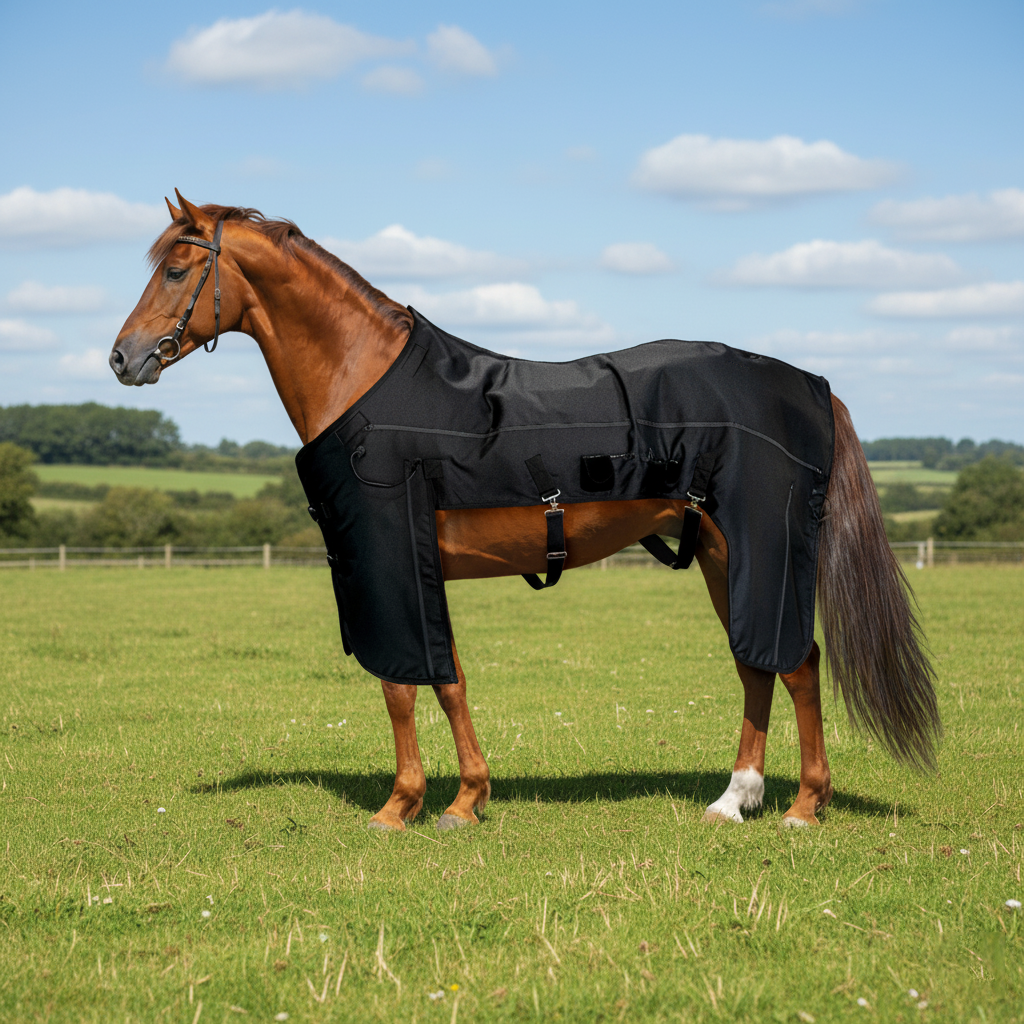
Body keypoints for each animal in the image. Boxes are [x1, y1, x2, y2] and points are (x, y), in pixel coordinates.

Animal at [110, 193, 940, 832]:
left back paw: (801, 808)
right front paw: (465, 800)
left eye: (177, 269)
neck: (365, 379)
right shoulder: (411, 568)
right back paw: (734, 800)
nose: (123, 358)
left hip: (753, 551)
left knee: (794, 662)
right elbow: (445, 681)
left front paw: (403, 807)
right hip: (717, 554)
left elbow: (402, 686)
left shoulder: (388, 562)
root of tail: (809, 383)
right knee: (756, 666)